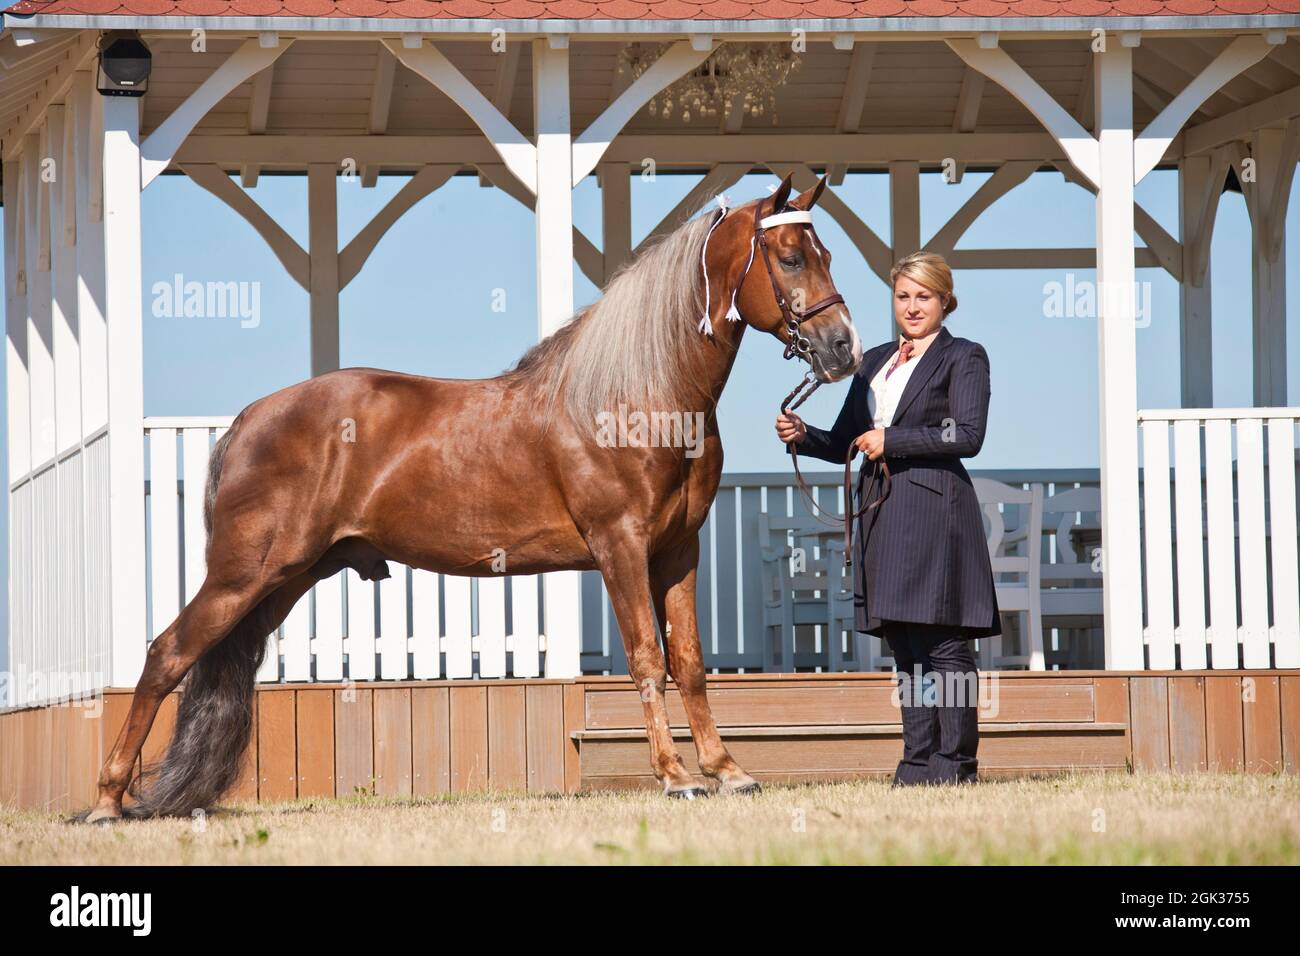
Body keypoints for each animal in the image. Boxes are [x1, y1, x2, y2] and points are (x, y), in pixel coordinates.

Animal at [76, 172, 861, 823]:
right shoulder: (621, 547)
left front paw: (727, 770)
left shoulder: (678, 552)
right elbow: (646, 659)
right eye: (790, 256)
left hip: (282, 582)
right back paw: (108, 800)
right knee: (164, 656)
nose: (842, 348)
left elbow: (691, 664)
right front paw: (675, 778)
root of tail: (246, 419)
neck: (637, 395)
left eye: (824, 251)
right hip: (242, 576)